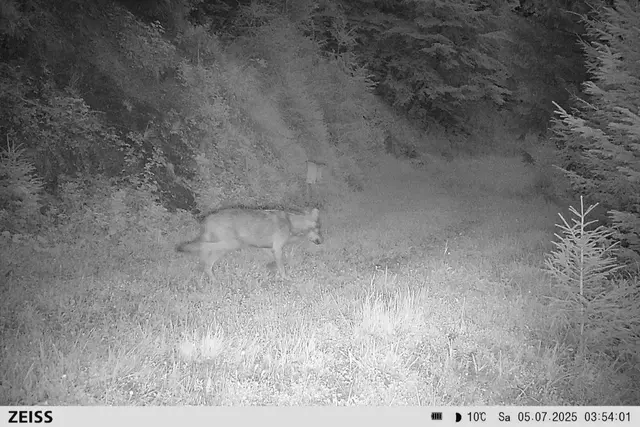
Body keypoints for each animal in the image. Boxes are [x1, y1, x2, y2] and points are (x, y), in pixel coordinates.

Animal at [176, 207, 323, 282]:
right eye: (319, 230)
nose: (321, 241)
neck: (291, 222)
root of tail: (207, 219)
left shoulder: (267, 248)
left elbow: (274, 262)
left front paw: (270, 268)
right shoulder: (277, 248)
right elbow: (281, 266)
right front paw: (286, 277)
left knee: (205, 258)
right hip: (231, 244)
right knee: (204, 251)